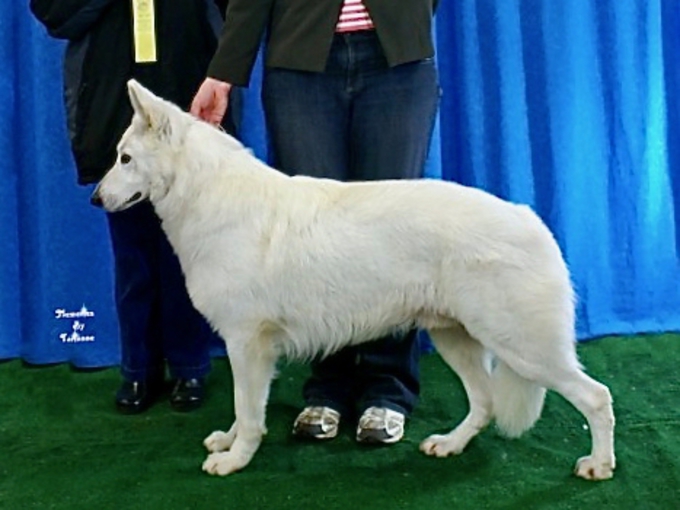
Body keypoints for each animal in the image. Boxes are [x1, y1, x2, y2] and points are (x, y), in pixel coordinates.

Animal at [91, 78, 616, 478]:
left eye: (124, 159)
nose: (95, 199)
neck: (207, 196)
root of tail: (531, 219)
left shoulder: (247, 344)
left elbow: (248, 409)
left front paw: (236, 459)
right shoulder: (248, 349)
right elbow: (244, 409)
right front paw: (229, 443)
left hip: (523, 349)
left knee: (597, 397)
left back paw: (598, 465)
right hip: (459, 339)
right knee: (485, 404)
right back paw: (450, 444)